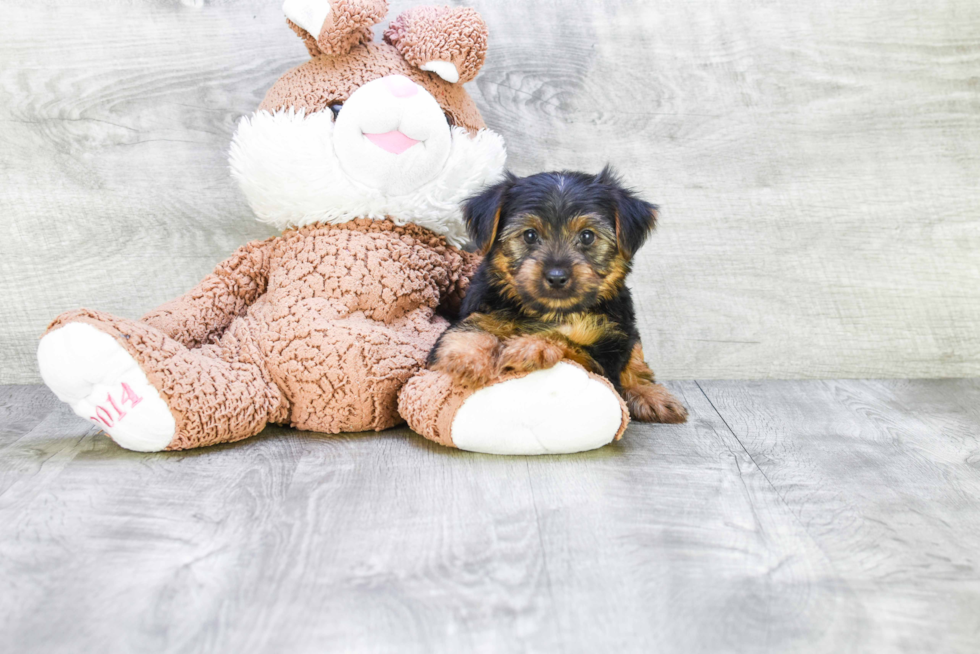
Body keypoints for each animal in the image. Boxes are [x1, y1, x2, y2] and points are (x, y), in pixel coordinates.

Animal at [428, 167, 688, 426]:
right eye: (530, 235)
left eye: (587, 236)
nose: (556, 277)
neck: (553, 312)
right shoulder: (485, 307)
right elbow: (470, 327)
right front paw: (467, 360)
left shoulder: (606, 359)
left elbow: (570, 343)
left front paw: (530, 347)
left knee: (636, 360)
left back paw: (650, 395)